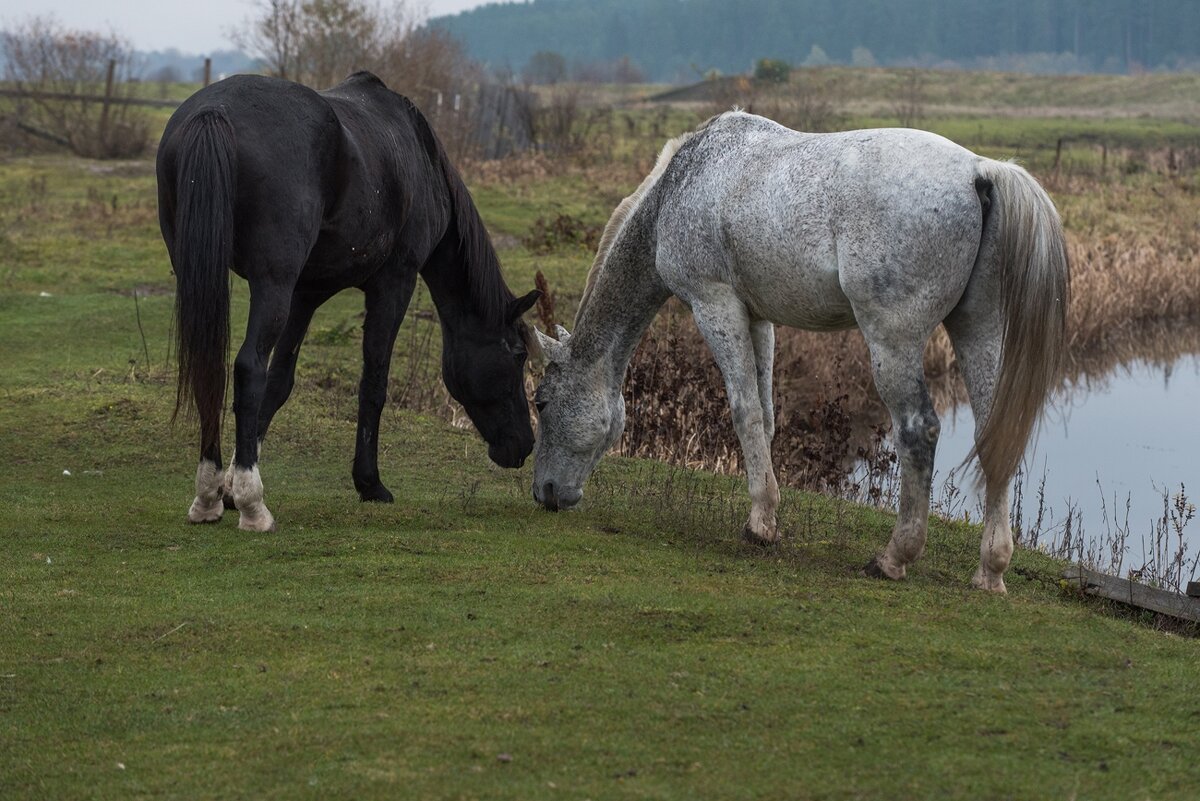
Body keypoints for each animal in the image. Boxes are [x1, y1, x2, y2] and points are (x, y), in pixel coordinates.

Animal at [158, 71, 540, 527]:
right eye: (518, 355)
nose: (525, 444)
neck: (421, 158)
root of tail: (214, 111)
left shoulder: (305, 294)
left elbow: (279, 383)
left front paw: (231, 486)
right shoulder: (393, 284)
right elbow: (373, 384)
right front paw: (369, 483)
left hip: (204, 274)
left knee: (209, 367)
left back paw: (208, 496)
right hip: (272, 283)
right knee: (247, 367)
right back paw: (254, 506)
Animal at [535, 109, 1070, 592]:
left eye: (540, 402)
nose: (544, 492)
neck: (682, 183)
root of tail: (980, 170)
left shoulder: (715, 306)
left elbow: (744, 411)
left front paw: (759, 526)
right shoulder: (757, 319)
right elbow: (767, 415)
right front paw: (767, 511)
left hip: (893, 342)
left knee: (919, 429)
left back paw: (894, 557)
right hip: (978, 329)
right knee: (993, 432)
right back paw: (991, 570)